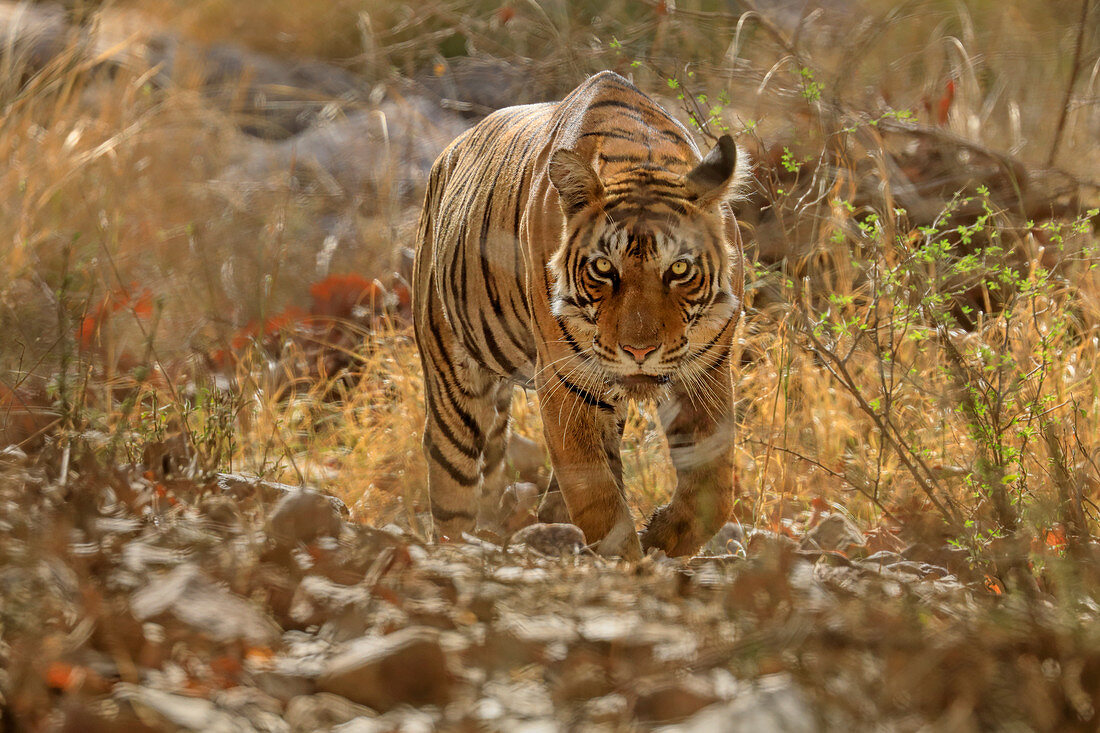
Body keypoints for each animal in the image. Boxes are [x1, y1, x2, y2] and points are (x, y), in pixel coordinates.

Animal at [411, 71, 748, 556]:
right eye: (604, 268)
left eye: (679, 269)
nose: (639, 352)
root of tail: (448, 153)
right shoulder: (565, 379)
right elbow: (596, 495)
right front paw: (627, 558)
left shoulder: (707, 371)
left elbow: (713, 488)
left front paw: (661, 536)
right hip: (450, 377)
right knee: (451, 480)